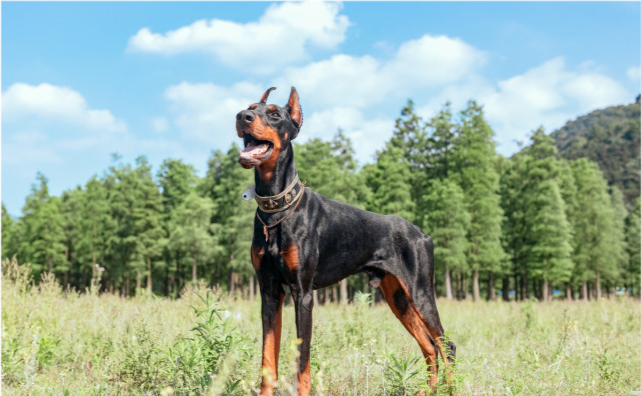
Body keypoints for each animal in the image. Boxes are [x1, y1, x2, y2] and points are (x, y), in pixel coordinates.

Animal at [236, 87, 456, 396]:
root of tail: (420, 231)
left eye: (275, 114)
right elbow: (268, 361)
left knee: (446, 346)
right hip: (398, 297)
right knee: (430, 348)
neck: (275, 209)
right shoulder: (269, 291)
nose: (241, 116)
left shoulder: (303, 293)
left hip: (421, 292)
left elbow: (302, 363)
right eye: (250, 107)